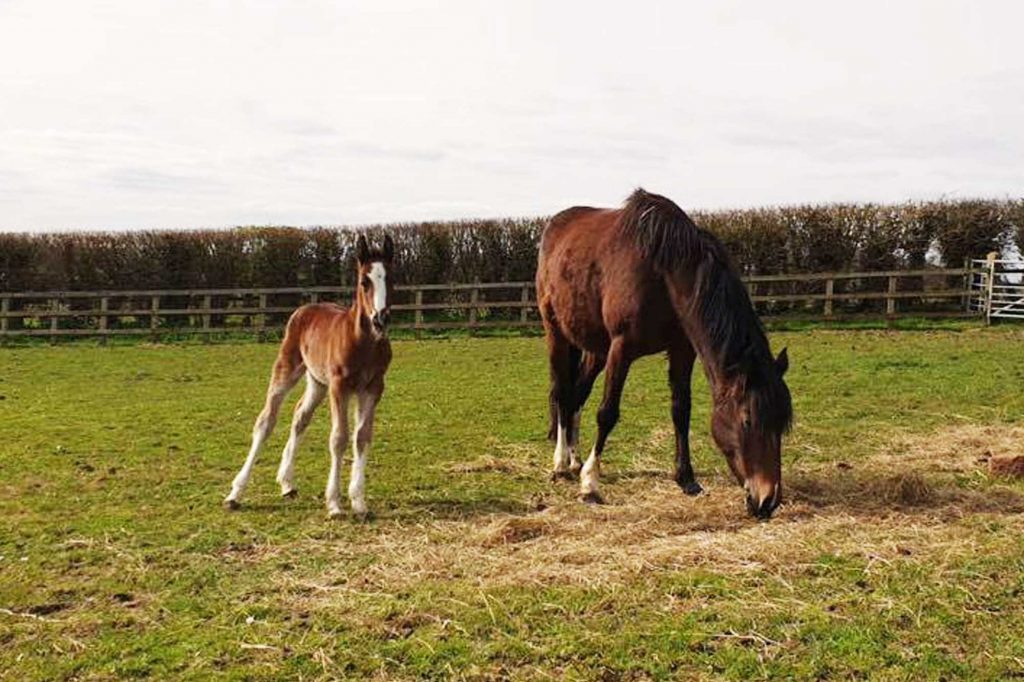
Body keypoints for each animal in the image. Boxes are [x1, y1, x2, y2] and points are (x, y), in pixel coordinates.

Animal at [536, 188, 790, 518]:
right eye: (747, 420)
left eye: (782, 423)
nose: (768, 500)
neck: (664, 272)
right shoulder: (622, 348)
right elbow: (607, 413)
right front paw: (590, 483)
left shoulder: (682, 350)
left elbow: (681, 409)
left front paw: (687, 479)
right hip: (556, 332)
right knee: (562, 393)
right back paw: (561, 464)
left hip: (595, 348)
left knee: (577, 395)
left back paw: (574, 457)